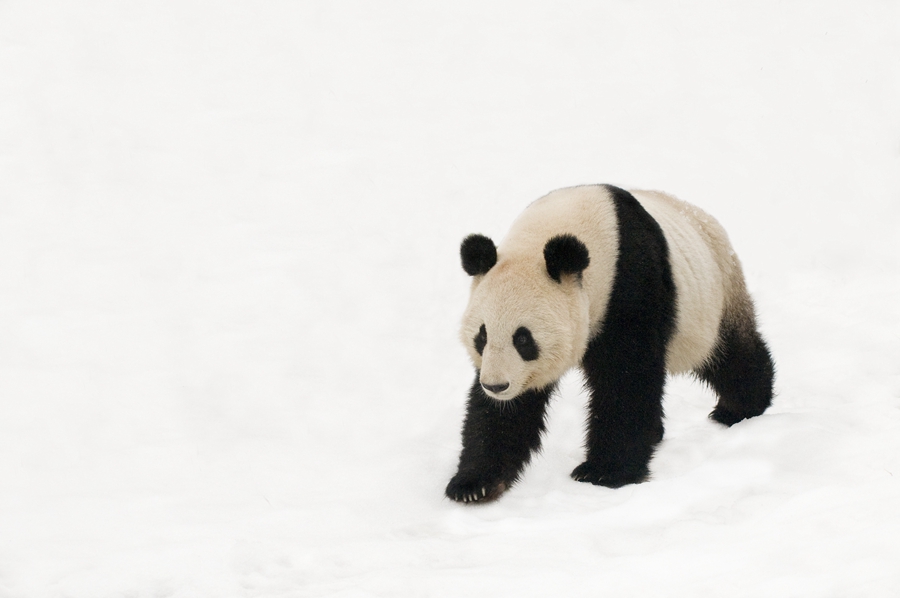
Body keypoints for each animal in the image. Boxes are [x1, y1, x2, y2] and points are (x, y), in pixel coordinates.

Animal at [446, 184, 774, 504]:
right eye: (482, 336)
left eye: (523, 338)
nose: (496, 386)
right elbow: (507, 410)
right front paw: (474, 484)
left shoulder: (628, 283)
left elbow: (626, 379)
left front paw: (604, 472)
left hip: (713, 299)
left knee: (730, 354)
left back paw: (740, 408)